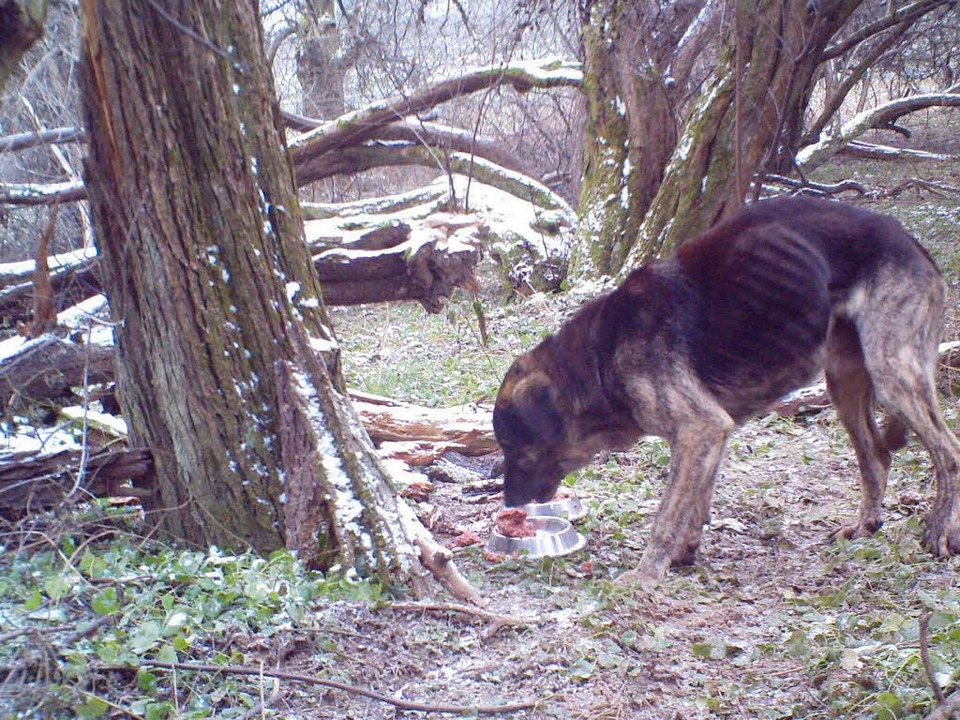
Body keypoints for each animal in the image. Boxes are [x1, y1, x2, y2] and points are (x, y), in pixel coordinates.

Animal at [496, 195, 960, 584]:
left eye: (517, 449)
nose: (508, 503)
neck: (597, 357)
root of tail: (912, 243)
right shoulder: (711, 435)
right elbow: (694, 504)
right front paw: (684, 552)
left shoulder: (699, 428)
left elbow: (667, 515)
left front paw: (647, 574)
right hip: (845, 383)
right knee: (877, 459)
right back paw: (867, 525)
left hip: (893, 373)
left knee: (948, 452)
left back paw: (939, 530)